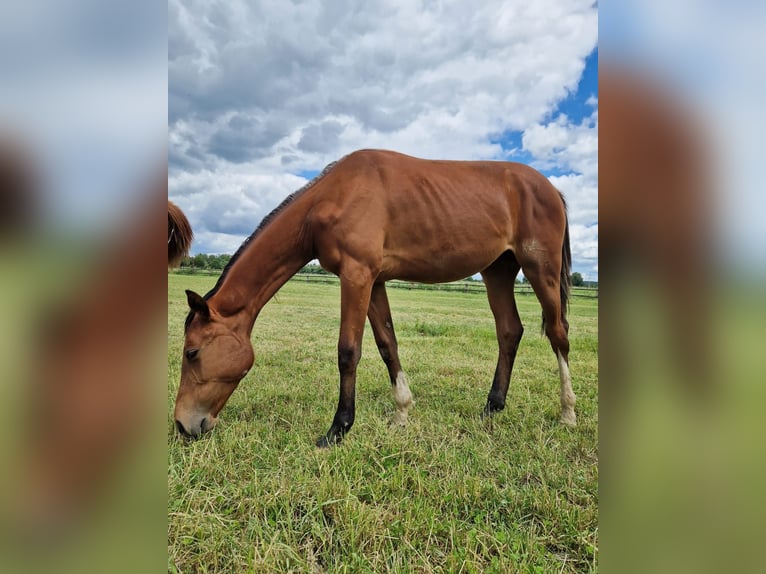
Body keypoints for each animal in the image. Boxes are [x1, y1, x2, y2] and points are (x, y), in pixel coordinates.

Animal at [177, 151, 576, 448]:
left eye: (192, 352)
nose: (183, 425)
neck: (333, 197)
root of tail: (551, 190)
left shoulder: (357, 276)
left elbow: (348, 351)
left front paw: (337, 429)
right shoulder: (375, 281)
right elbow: (388, 345)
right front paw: (401, 412)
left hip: (541, 269)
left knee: (559, 333)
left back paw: (567, 413)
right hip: (498, 271)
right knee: (509, 331)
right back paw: (492, 407)